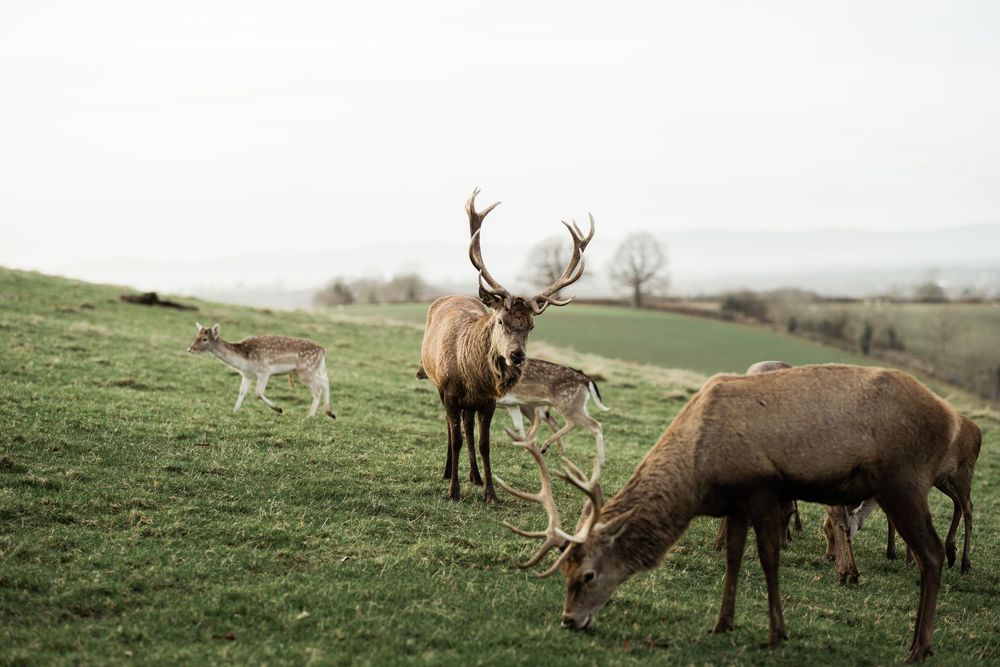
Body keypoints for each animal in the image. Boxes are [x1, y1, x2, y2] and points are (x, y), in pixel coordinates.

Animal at [187, 322, 336, 418]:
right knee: (324, 382)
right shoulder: (247, 375)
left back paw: (310, 416)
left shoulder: (264, 371)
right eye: (195, 337)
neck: (243, 359)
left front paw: (279, 409)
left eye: (204, 339)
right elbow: (242, 392)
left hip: (306, 371)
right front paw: (234, 411)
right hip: (300, 373)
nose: (190, 349)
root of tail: (323, 350)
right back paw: (329, 412)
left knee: (317, 390)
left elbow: (258, 392)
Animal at [420, 188, 593, 503]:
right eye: (501, 320)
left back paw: (474, 477)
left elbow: (484, 443)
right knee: (452, 430)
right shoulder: (449, 392)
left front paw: (490, 492)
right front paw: (453, 491)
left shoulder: (488, 400)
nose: (517, 355)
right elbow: (456, 438)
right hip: (438, 384)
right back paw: (449, 471)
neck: (471, 376)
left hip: (471, 403)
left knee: (468, 428)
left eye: (532, 326)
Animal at [497, 364, 980, 662]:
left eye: (587, 575)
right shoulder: (735, 502)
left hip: (903, 479)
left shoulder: (763, 488)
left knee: (932, 554)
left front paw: (776, 633)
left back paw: (918, 646)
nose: (569, 619)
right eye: (563, 571)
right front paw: (722, 623)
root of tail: (952, 419)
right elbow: (732, 558)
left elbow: (768, 560)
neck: (699, 473)